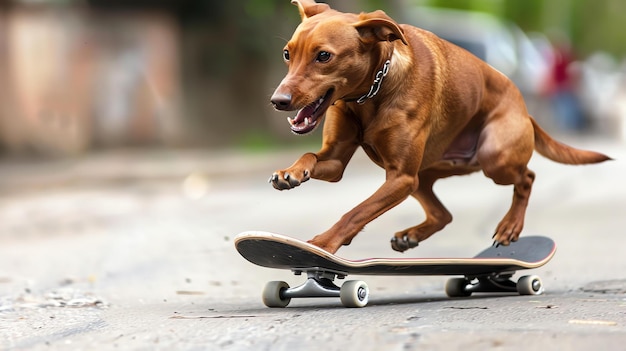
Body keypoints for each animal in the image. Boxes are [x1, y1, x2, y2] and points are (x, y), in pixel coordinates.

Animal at [266, 0, 604, 253]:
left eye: (324, 56)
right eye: (287, 54)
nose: (277, 101)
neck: (372, 92)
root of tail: (524, 109)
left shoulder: (400, 176)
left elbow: (355, 212)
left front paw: (323, 244)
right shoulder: (338, 160)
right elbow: (311, 156)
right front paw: (291, 172)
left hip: (493, 157)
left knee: (527, 178)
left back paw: (509, 227)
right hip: (424, 176)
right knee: (444, 214)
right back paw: (411, 235)